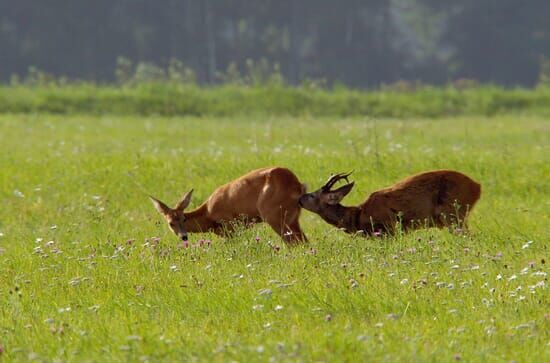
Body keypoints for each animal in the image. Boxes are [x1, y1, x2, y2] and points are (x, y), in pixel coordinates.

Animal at [149, 167, 308, 245]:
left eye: (183, 219)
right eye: (171, 223)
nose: (184, 237)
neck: (208, 215)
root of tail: (298, 185)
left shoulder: (229, 225)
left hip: (274, 215)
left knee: (294, 242)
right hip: (292, 218)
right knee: (304, 241)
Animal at [300, 171, 480, 236]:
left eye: (312, 195)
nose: (300, 199)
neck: (359, 215)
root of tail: (478, 187)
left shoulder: (389, 227)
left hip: (453, 213)